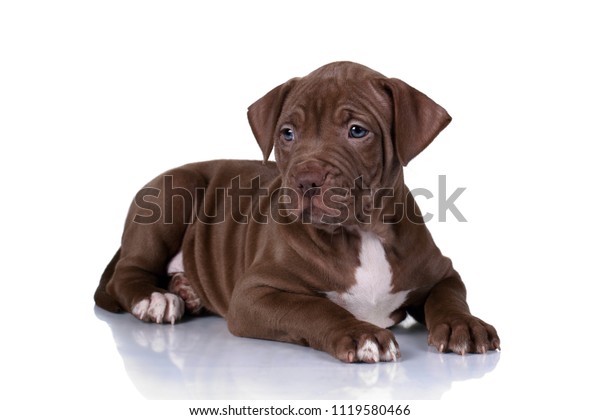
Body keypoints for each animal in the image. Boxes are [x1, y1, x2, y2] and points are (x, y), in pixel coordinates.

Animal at [96, 61, 500, 360]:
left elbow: (450, 297)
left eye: (357, 131)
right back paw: (157, 298)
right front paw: (360, 334)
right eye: (287, 133)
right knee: (127, 273)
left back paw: (187, 289)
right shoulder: (253, 294)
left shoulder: (442, 273)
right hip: (172, 193)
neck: (362, 233)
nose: (306, 180)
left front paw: (464, 326)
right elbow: (314, 308)